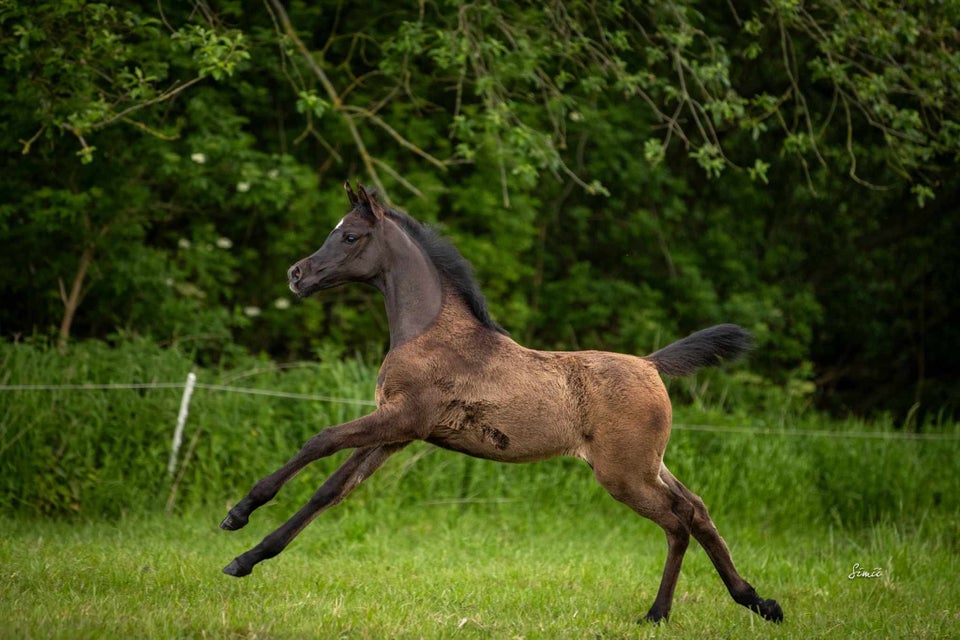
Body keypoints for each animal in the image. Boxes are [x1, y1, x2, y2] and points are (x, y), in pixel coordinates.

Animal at [221, 182, 784, 624]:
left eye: (350, 236)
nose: (297, 275)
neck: (430, 333)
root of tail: (651, 365)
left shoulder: (400, 417)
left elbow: (320, 441)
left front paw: (238, 514)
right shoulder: (398, 433)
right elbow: (331, 491)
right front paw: (244, 560)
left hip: (623, 474)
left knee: (677, 521)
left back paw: (657, 614)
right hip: (649, 464)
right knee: (698, 509)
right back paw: (758, 602)